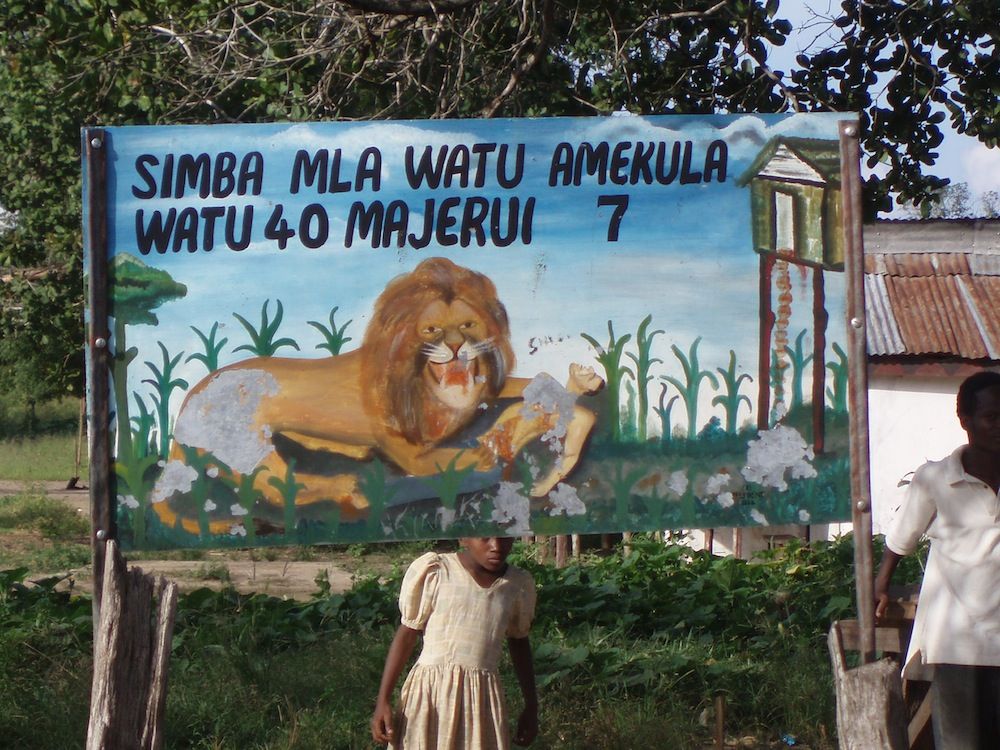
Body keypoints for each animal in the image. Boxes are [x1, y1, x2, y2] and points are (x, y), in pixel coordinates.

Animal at [149, 258, 600, 536]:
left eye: (468, 325)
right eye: (432, 330)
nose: (456, 348)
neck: (431, 383)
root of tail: (185, 408)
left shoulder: (478, 395)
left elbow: (521, 383)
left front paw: (576, 387)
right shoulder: (412, 451)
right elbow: (484, 448)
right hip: (247, 446)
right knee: (281, 486)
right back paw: (347, 488)